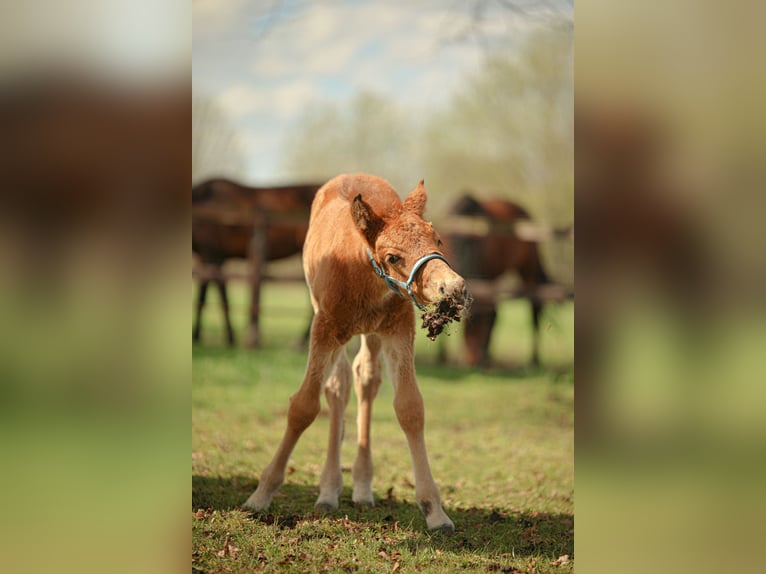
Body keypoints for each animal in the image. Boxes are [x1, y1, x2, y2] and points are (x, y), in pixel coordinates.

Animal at [192, 178, 322, 347]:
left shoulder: (212, 256)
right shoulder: (209, 258)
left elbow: (211, 295)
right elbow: (211, 294)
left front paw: (223, 337)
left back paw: (300, 342)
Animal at [243, 173, 468, 532]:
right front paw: (260, 496)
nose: (454, 288)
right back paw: (329, 491)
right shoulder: (324, 326)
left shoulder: (399, 328)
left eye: (438, 239)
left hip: (373, 333)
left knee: (366, 378)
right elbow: (304, 406)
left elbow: (410, 408)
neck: (360, 272)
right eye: (393, 257)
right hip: (328, 322)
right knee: (339, 385)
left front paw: (435, 511)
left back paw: (361, 487)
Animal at [443, 194, 552, 367]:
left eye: (478, 323)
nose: (470, 360)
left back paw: (534, 359)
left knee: (533, 307)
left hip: (528, 270)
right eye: (468, 323)